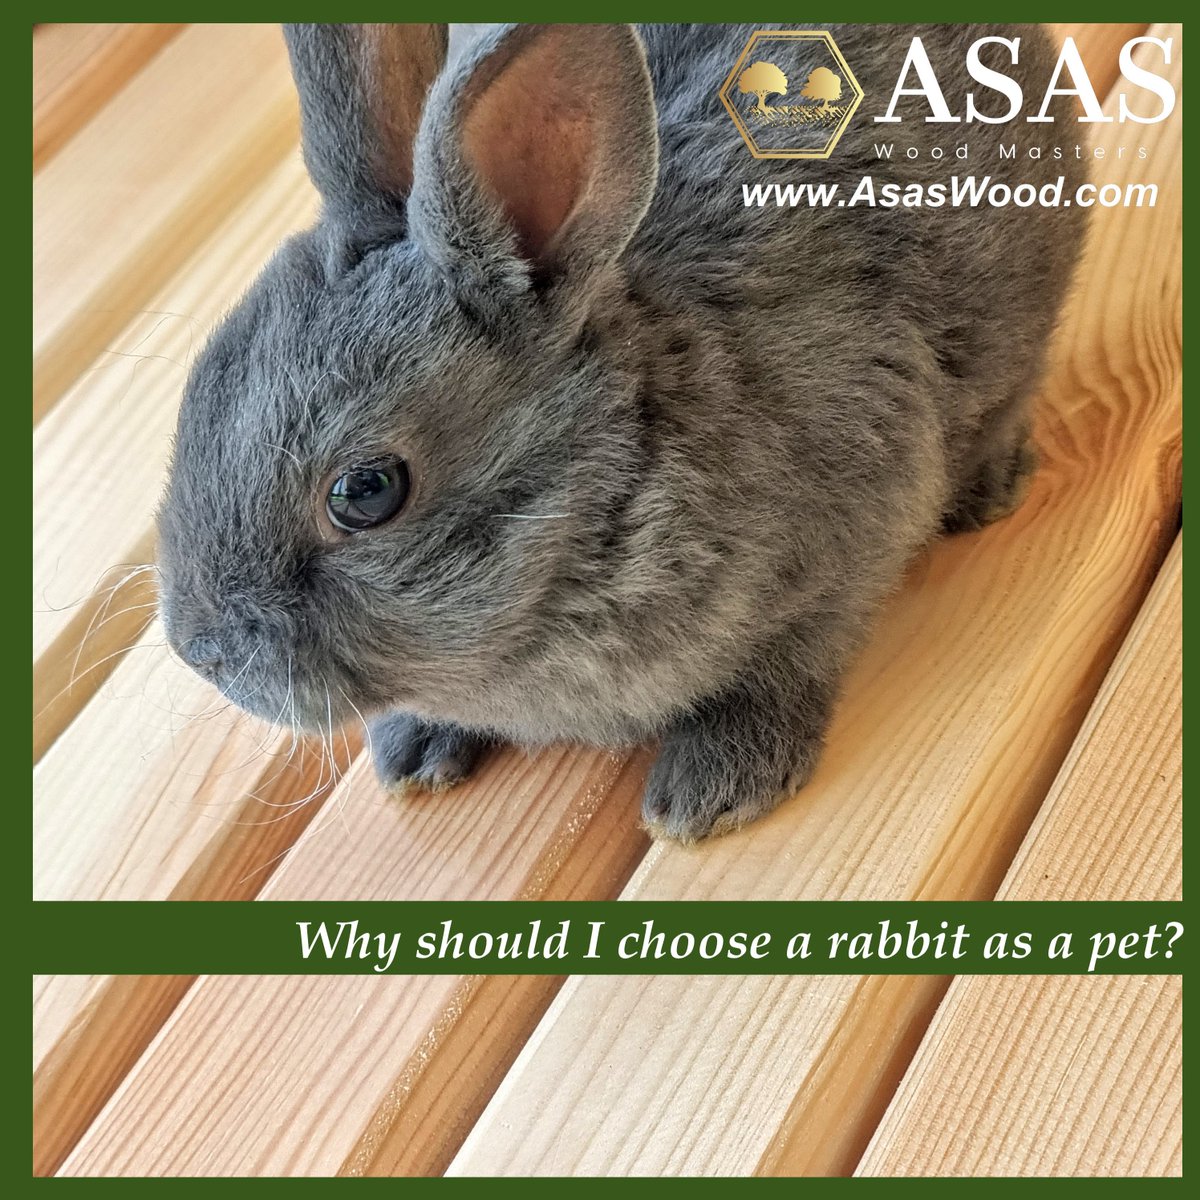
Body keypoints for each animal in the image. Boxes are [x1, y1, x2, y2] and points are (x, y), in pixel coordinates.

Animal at [157, 23, 1087, 841]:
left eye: (366, 491)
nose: (201, 654)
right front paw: (413, 748)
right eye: (195, 401)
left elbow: (794, 658)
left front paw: (711, 792)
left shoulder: (857, 527)